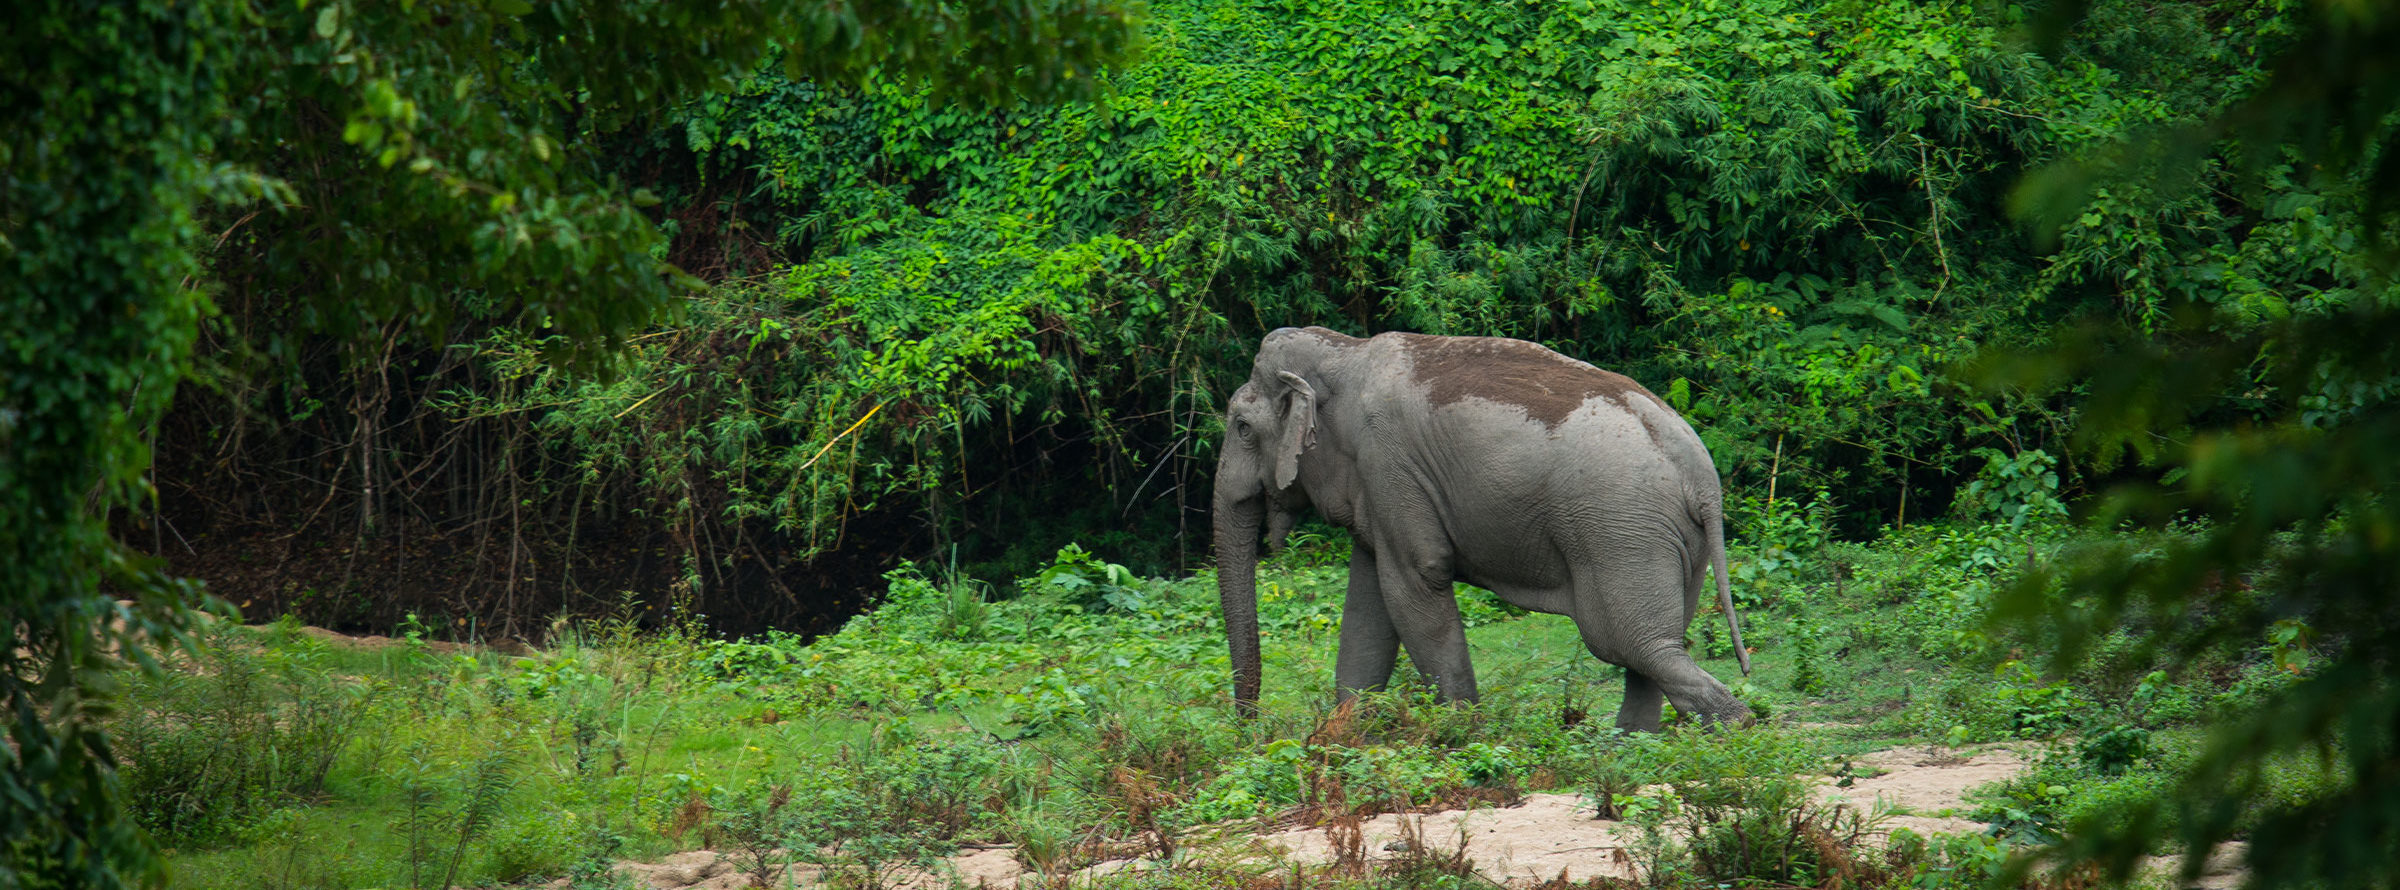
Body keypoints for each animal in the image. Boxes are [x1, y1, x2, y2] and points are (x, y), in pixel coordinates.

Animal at [1209, 328, 1756, 734]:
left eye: (1241, 427)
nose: (1250, 729)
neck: (1344, 351)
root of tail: (1703, 478)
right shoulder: (1376, 488)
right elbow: (1370, 604)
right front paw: (1345, 738)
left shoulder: (1389, 465)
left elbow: (1415, 583)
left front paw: (1460, 736)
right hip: (1672, 540)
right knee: (1653, 645)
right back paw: (1626, 749)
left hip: (1619, 530)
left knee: (1631, 642)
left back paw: (1731, 729)